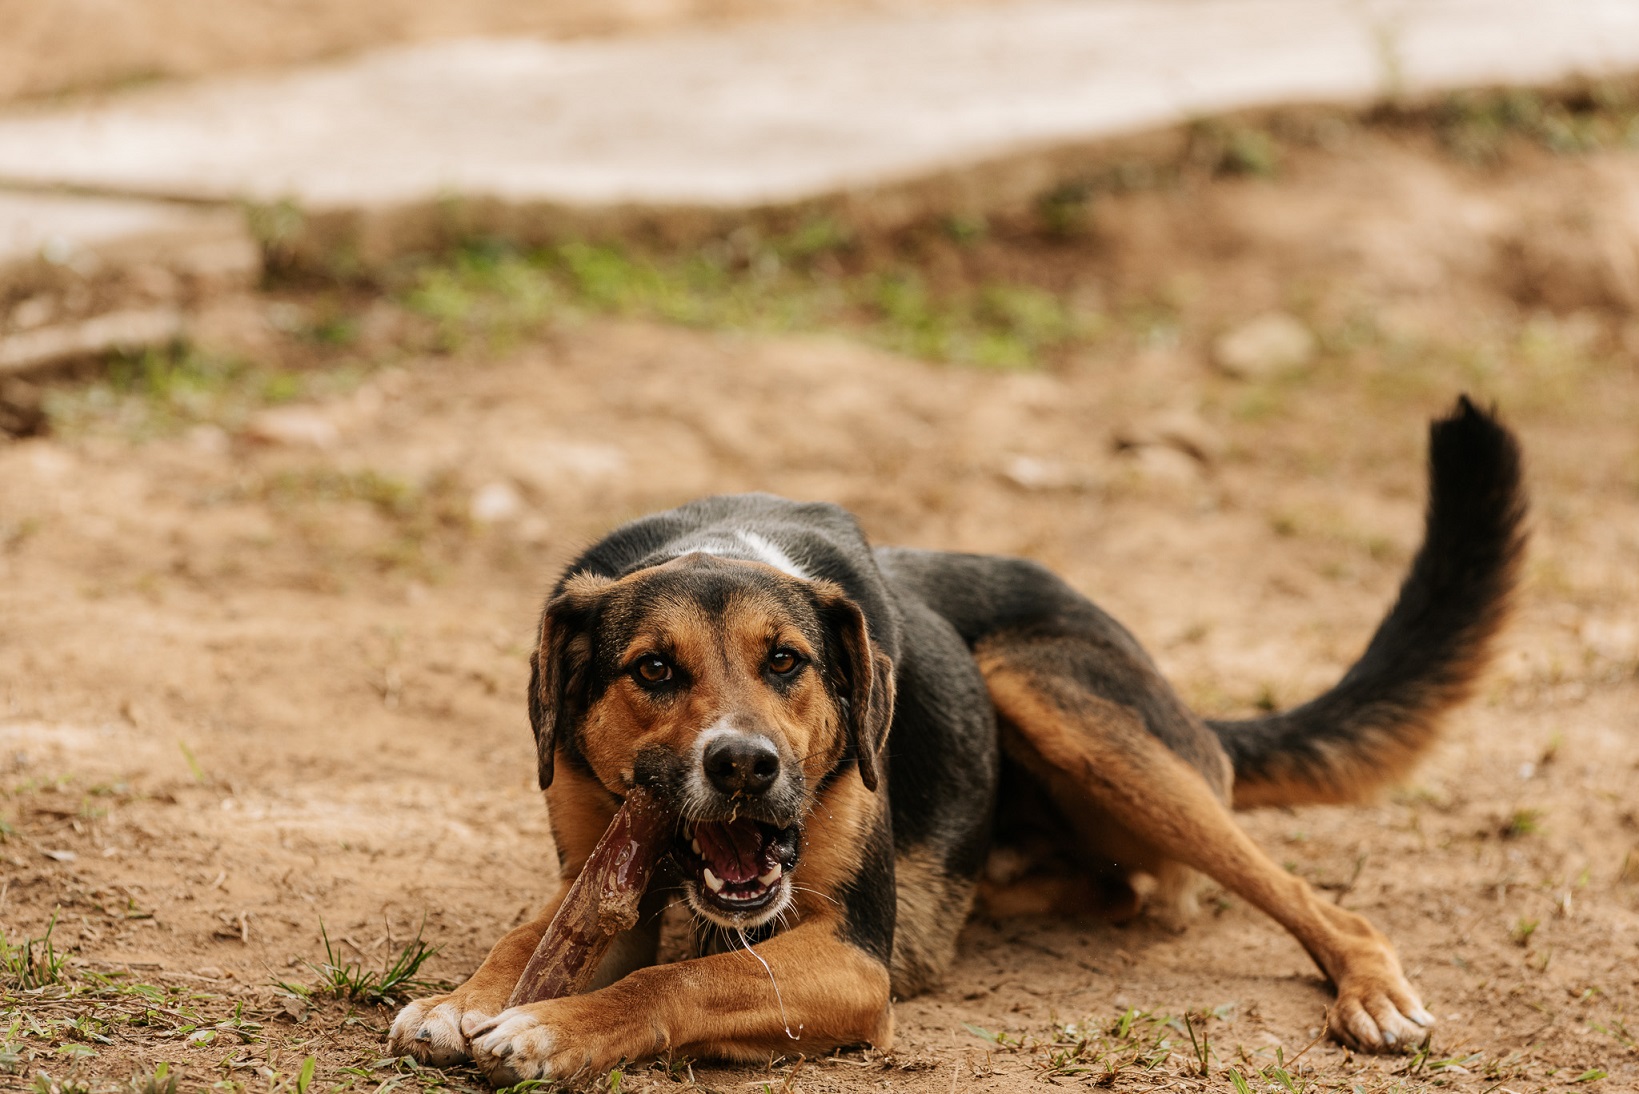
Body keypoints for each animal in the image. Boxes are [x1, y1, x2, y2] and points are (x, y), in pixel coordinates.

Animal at [383, 395, 1520, 1089]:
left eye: (786, 661)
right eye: (652, 670)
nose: (745, 765)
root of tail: (1191, 713)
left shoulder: (853, 961)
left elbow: (675, 980)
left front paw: (549, 1027)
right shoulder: (597, 873)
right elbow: (530, 938)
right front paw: (462, 1001)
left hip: (1050, 694)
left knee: (1311, 901)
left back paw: (1370, 992)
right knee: (1116, 889)